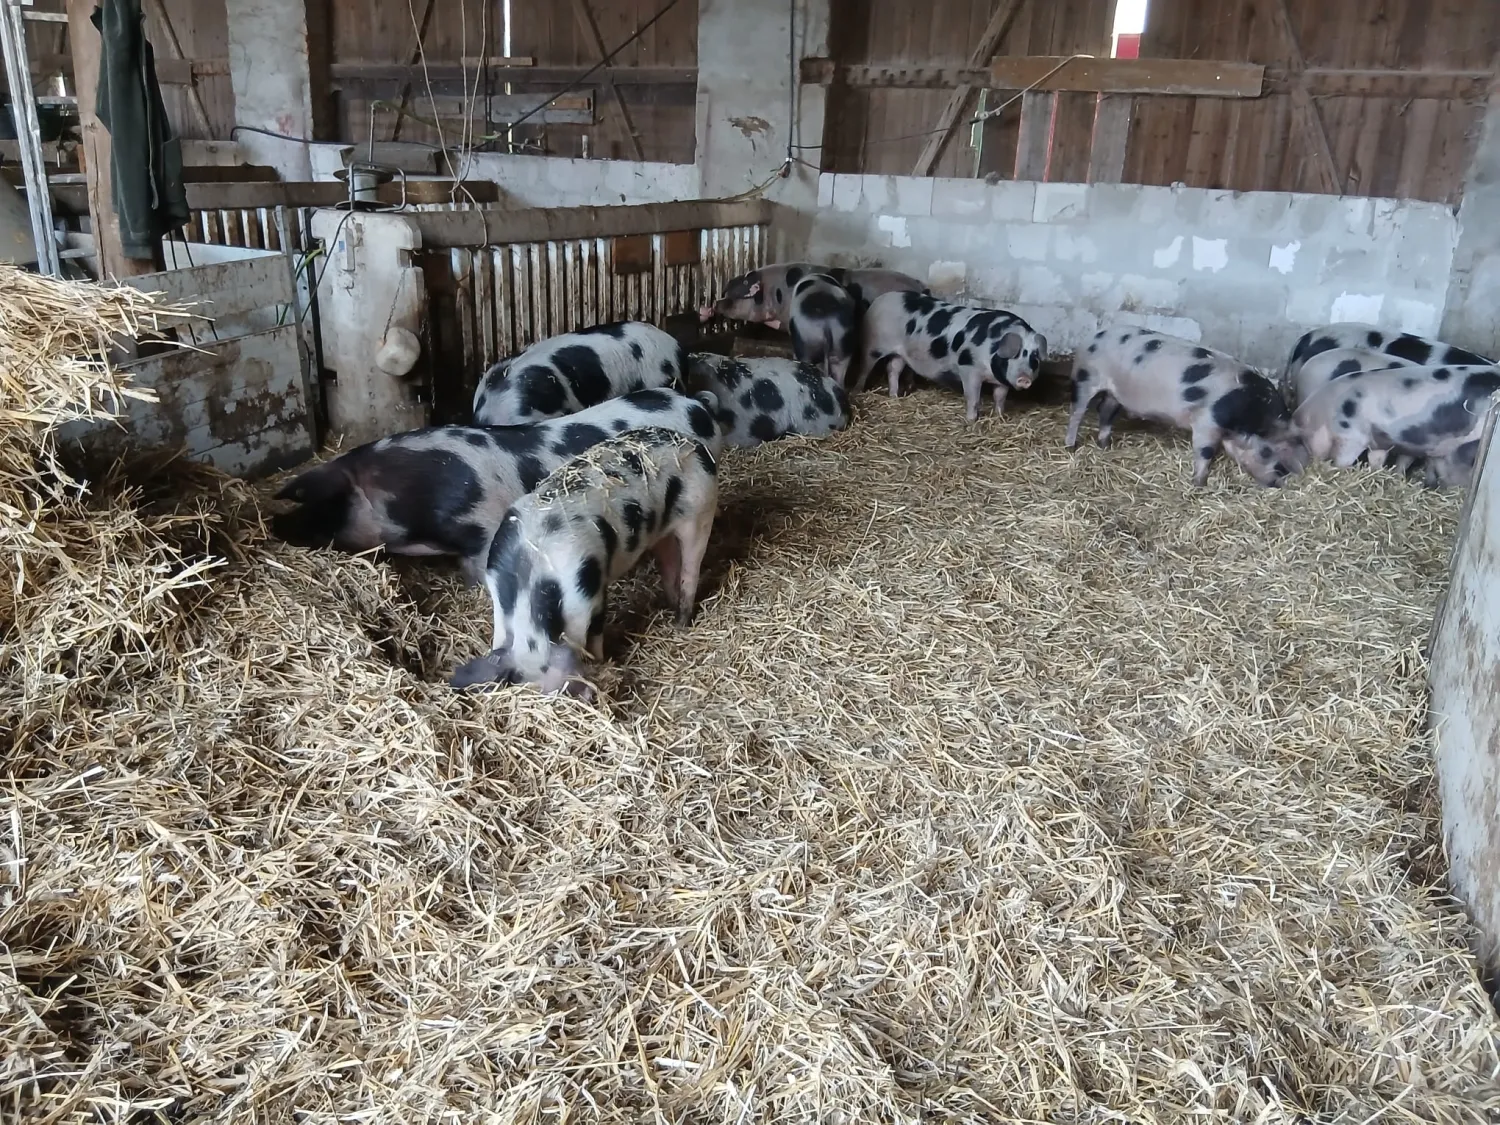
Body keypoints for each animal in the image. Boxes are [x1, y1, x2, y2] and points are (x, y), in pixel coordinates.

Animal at [450, 426, 720, 698]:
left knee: (690, 569)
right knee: (669, 561)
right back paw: (670, 607)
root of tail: (693, 443)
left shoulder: (592, 590)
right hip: (662, 532)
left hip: (700, 512)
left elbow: (596, 633)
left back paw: (681, 623)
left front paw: (601, 661)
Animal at [855, 291, 1047, 422]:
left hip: (900, 353)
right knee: (864, 367)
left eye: (1034, 356)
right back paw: (858, 389)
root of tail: (880, 299)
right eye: (1015, 353)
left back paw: (894, 396)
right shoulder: (968, 369)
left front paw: (1000, 418)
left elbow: (1000, 398)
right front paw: (971, 421)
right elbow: (973, 398)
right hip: (872, 345)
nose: (1024, 379)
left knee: (893, 369)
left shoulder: (1001, 381)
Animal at [1067, 327, 1309, 487]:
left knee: (1106, 410)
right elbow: (1205, 451)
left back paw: (1105, 445)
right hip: (1085, 378)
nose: (1278, 483)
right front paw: (1199, 483)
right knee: (1077, 411)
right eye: (1271, 456)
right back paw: (1071, 446)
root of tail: (1095, 335)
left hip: (1115, 393)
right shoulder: (1207, 421)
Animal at [1293, 365, 1500, 476]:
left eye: (1302, 440)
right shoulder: (1379, 442)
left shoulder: (1351, 437)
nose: (1310, 463)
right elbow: (1377, 461)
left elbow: (1342, 462)